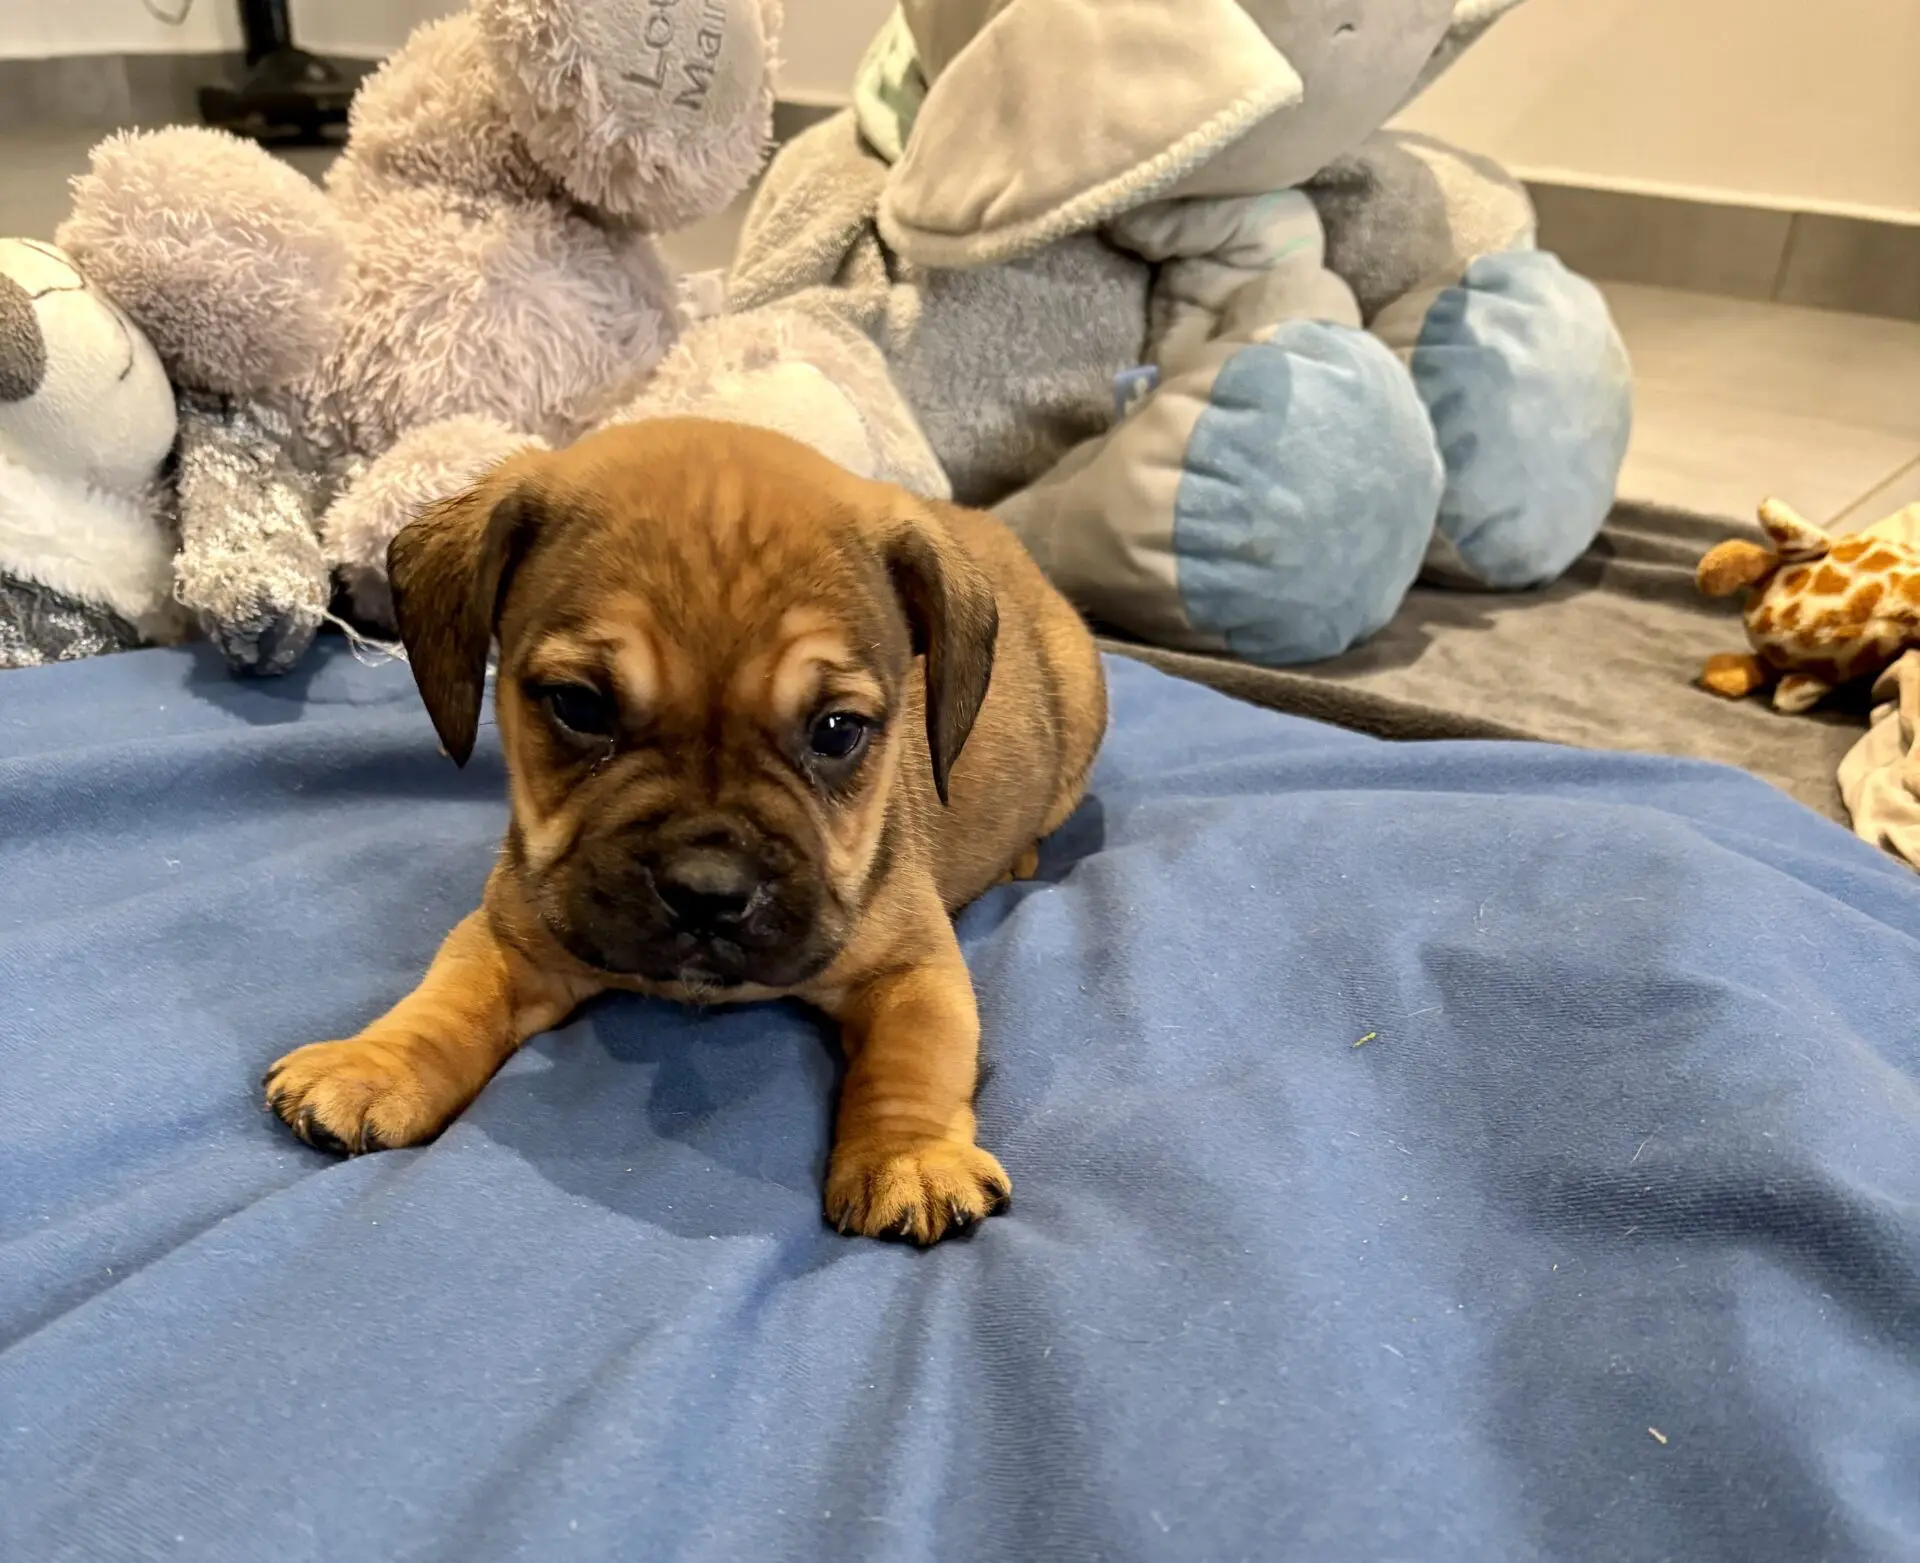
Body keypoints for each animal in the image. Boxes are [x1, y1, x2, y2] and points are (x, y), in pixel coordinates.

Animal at [263, 418, 1107, 1243]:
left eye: (837, 731)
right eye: (578, 705)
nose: (707, 890)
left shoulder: (914, 965)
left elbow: (916, 1056)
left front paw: (911, 1157)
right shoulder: (510, 934)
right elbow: (448, 1000)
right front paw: (372, 1066)